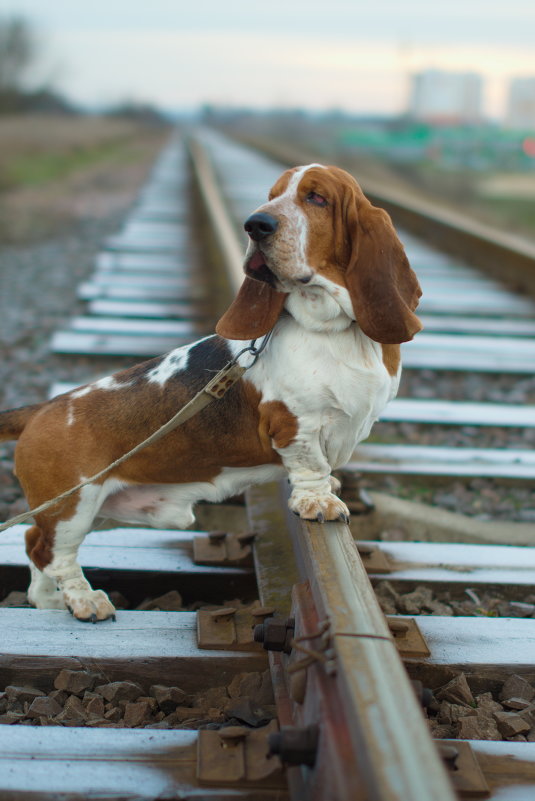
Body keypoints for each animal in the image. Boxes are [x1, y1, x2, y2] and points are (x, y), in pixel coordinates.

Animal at [0, 162, 420, 620]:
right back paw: (85, 600)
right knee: (52, 553)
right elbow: (311, 468)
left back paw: (47, 600)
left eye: (317, 198)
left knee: (33, 543)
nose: (256, 224)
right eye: (271, 196)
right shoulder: (297, 425)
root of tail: (43, 408)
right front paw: (319, 503)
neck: (336, 330)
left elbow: (326, 468)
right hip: (73, 506)